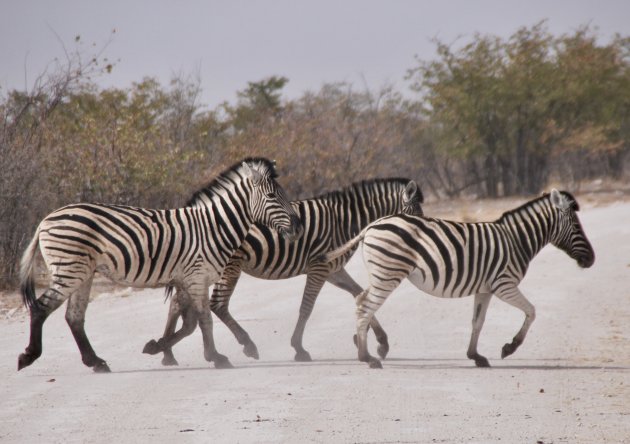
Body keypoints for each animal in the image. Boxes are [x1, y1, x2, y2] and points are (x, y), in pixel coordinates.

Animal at [15, 158, 302, 372]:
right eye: (272, 196)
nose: (298, 227)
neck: (213, 227)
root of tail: (46, 219)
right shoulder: (197, 277)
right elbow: (205, 320)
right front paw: (217, 358)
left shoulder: (187, 279)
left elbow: (190, 324)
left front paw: (158, 347)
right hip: (69, 270)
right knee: (40, 308)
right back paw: (28, 356)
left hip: (82, 273)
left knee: (74, 317)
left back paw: (95, 362)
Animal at [144, 177, 424, 364]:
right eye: (415, 215)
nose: (419, 245)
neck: (345, 220)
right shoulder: (320, 267)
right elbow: (307, 307)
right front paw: (298, 348)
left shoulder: (334, 269)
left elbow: (358, 294)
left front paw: (380, 342)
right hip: (227, 266)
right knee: (217, 305)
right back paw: (246, 345)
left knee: (178, 304)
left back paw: (166, 352)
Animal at [326, 190, 596, 368]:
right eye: (576, 227)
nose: (592, 260)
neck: (517, 240)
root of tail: (372, 225)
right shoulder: (505, 285)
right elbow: (531, 311)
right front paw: (509, 347)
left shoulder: (485, 288)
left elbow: (478, 322)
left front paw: (475, 356)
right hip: (388, 273)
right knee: (365, 306)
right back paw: (368, 358)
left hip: (382, 273)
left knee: (361, 300)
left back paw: (367, 352)